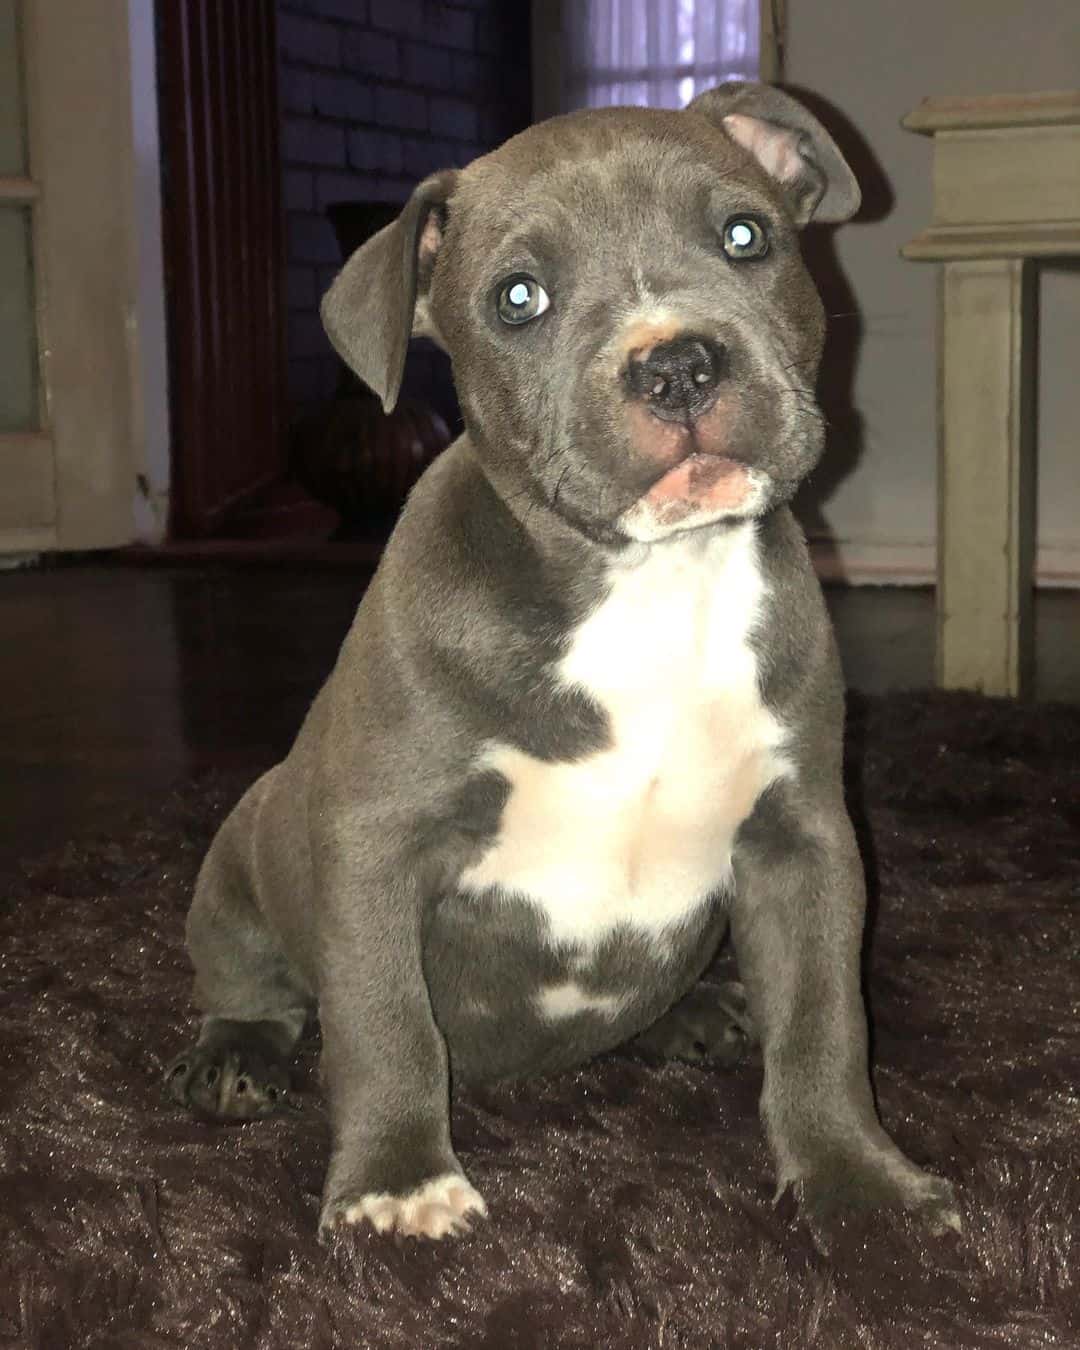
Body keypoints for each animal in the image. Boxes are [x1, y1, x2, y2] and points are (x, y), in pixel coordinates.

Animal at [164, 84, 955, 1242]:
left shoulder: (803, 838)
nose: (675, 365)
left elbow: (825, 1021)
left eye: (745, 236)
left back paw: (701, 1012)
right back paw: (234, 1060)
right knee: (254, 988)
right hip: (240, 854)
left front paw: (858, 1181)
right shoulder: (375, 846)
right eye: (518, 299)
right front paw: (397, 1184)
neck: (648, 582)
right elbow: (383, 1022)